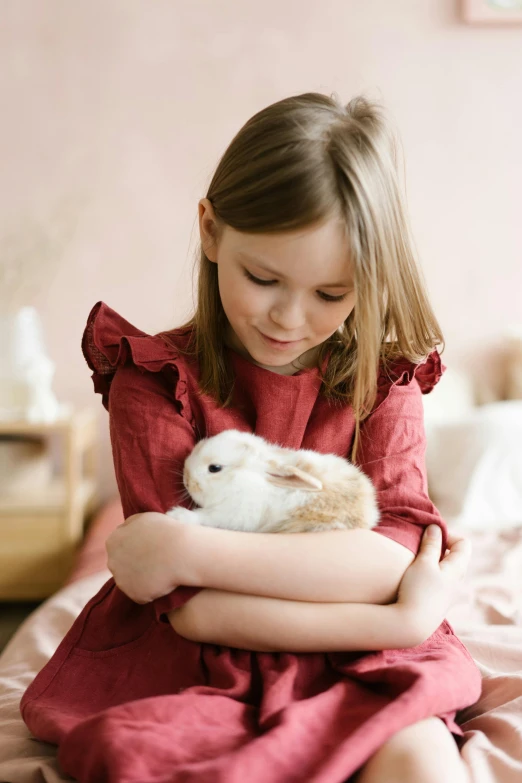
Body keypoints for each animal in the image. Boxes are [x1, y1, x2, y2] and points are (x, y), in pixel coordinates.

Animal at [166, 426, 378, 536]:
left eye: (215, 468)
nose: (186, 480)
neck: (243, 481)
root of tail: (370, 512)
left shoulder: (234, 515)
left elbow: (205, 517)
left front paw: (176, 515)